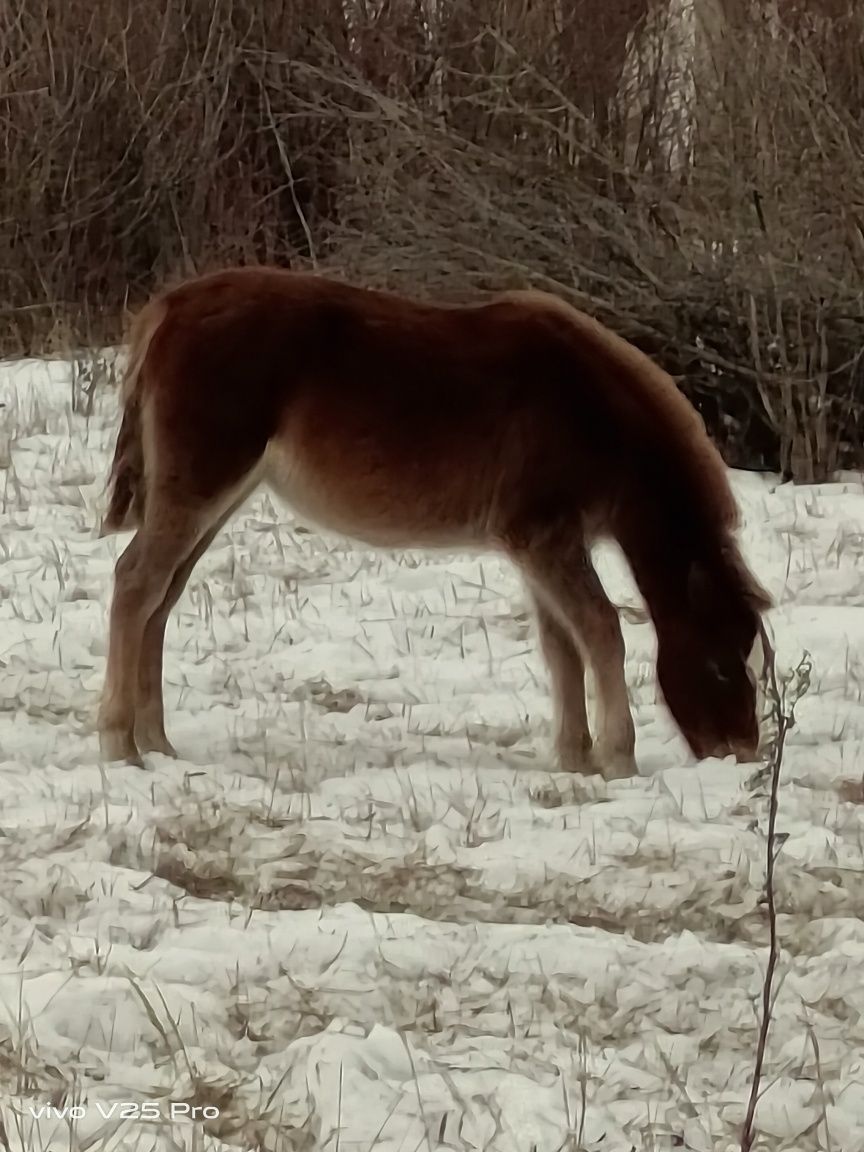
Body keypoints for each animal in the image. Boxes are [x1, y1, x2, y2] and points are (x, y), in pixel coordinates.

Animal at [94, 264, 769, 778]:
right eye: (718, 662)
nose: (741, 754)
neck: (594, 413)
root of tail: (168, 309)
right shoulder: (547, 537)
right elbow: (601, 632)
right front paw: (618, 760)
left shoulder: (538, 546)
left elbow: (561, 647)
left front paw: (575, 759)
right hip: (201, 487)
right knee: (135, 582)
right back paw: (120, 744)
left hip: (215, 497)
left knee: (162, 598)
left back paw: (158, 743)